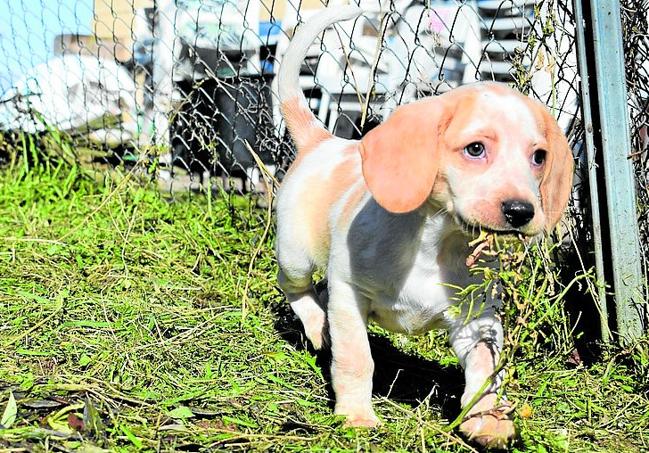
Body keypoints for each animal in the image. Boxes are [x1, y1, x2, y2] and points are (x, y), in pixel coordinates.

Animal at [274, 5, 572, 446]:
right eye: (476, 149)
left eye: (539, 157)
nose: (521, 211)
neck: (437, 243)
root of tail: (323, 141)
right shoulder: (349, 295)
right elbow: (356, 358)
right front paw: (356, 416)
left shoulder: (476, 321)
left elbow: (486, 372)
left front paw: (486, 418)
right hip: (295, 255)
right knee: (296, 289)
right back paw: (316, 325)